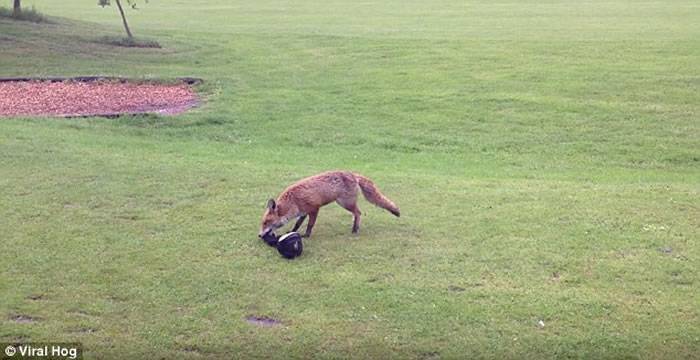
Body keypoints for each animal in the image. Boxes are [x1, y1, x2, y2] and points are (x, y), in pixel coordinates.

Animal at [258, 171, 402, 239]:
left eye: (265, 223)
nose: (259, 235)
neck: (293, 201)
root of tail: (353, 174)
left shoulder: (314, 208)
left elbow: (310, 225)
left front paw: (306, 235)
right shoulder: (303, 212)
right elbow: (297, 224)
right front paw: (292, 231)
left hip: (345, 203)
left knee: (358, 213)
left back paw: (355, 229)